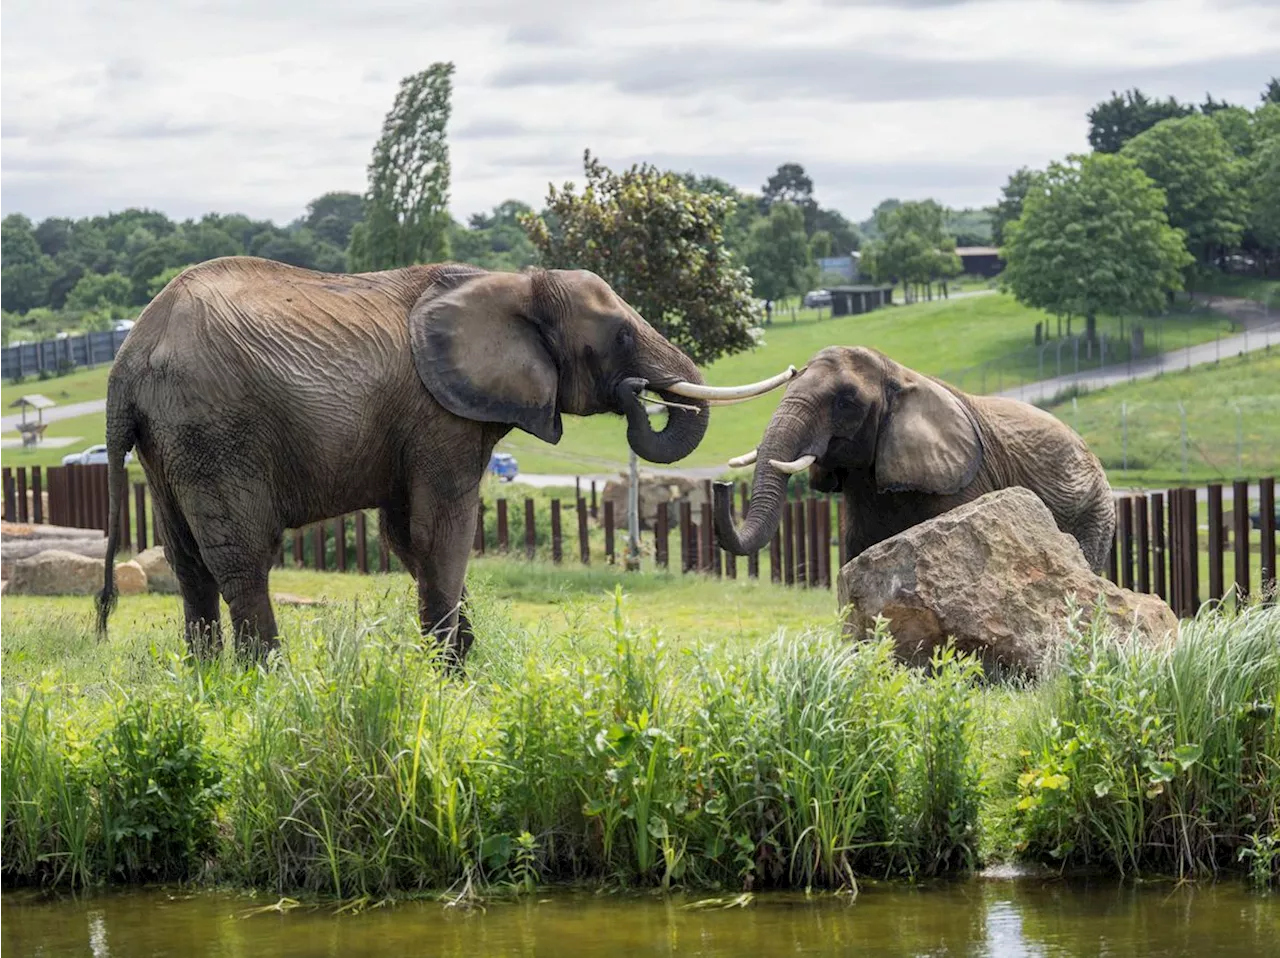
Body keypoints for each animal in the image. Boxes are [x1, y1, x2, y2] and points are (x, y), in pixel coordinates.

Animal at [94, 258, 788, 671]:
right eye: (619, 337)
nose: (639, 390)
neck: (511, 282)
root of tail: (126, 362)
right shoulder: (439, 416)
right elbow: (441, 531)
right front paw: (449, 674)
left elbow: (407, 537)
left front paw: (463, 660)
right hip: (213, 429)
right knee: (240, 557)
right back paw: (269, 678)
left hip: (170, 440)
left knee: (186, 558)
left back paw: (208, 679)